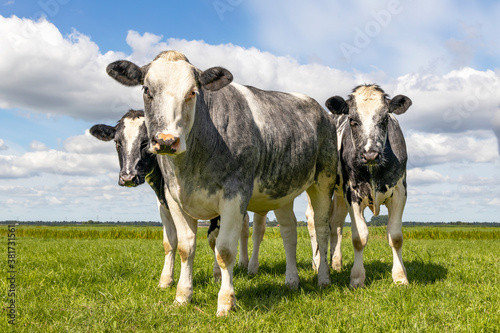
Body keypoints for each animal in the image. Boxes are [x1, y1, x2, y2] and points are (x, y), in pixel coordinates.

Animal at [105, 50, 340, 316]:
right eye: (146, 89)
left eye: (192, 92)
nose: (166, 141)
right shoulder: (173, 198)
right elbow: (185, 247)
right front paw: (182, 296)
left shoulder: (234, 194)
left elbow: (225, 250)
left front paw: (226, 301)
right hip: (282, 191)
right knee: (289, 232)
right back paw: (292, 280)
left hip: (324, 180)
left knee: (321, 228)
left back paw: (323, 278)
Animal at [308, 84, 410, 286]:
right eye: (353, 121)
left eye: (385, 119)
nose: (370, 154)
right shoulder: (352, 193)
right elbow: (359, 238)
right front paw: (356, 278)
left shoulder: (400, 191)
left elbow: (395, 237)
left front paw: (400, 277)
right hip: (315, 187)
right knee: (313, 221)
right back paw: (317, 264)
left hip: (339, 194)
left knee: (335, 223)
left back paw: (336, 263)